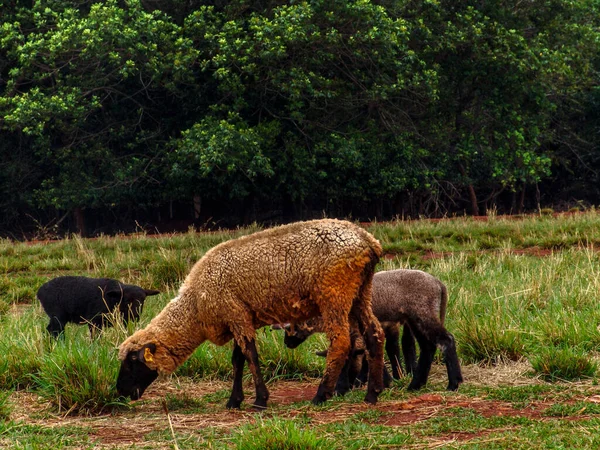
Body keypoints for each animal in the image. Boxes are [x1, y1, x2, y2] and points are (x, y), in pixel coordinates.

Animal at [117, 220, 384, 410]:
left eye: (132, 361)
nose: (119, 391)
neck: (195, 308)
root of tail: (368, 240)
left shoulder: (235, 315)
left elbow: (251, 356)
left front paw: (260, 401)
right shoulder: (238, 317)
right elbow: (238, 360)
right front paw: (234, 401)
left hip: (334, 293)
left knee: (341, 342)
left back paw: (321, 394)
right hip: (360, 292)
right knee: (374, 333)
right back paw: (373, 394)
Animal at [282, 268, 464, 392]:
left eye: (291, 326)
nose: (286, 343)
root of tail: (439, 284)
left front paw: (343, 388)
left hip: (423, 313)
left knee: (446, 340)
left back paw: (453, 383)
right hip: (415, 319)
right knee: (428, 347)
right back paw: (415, 385)